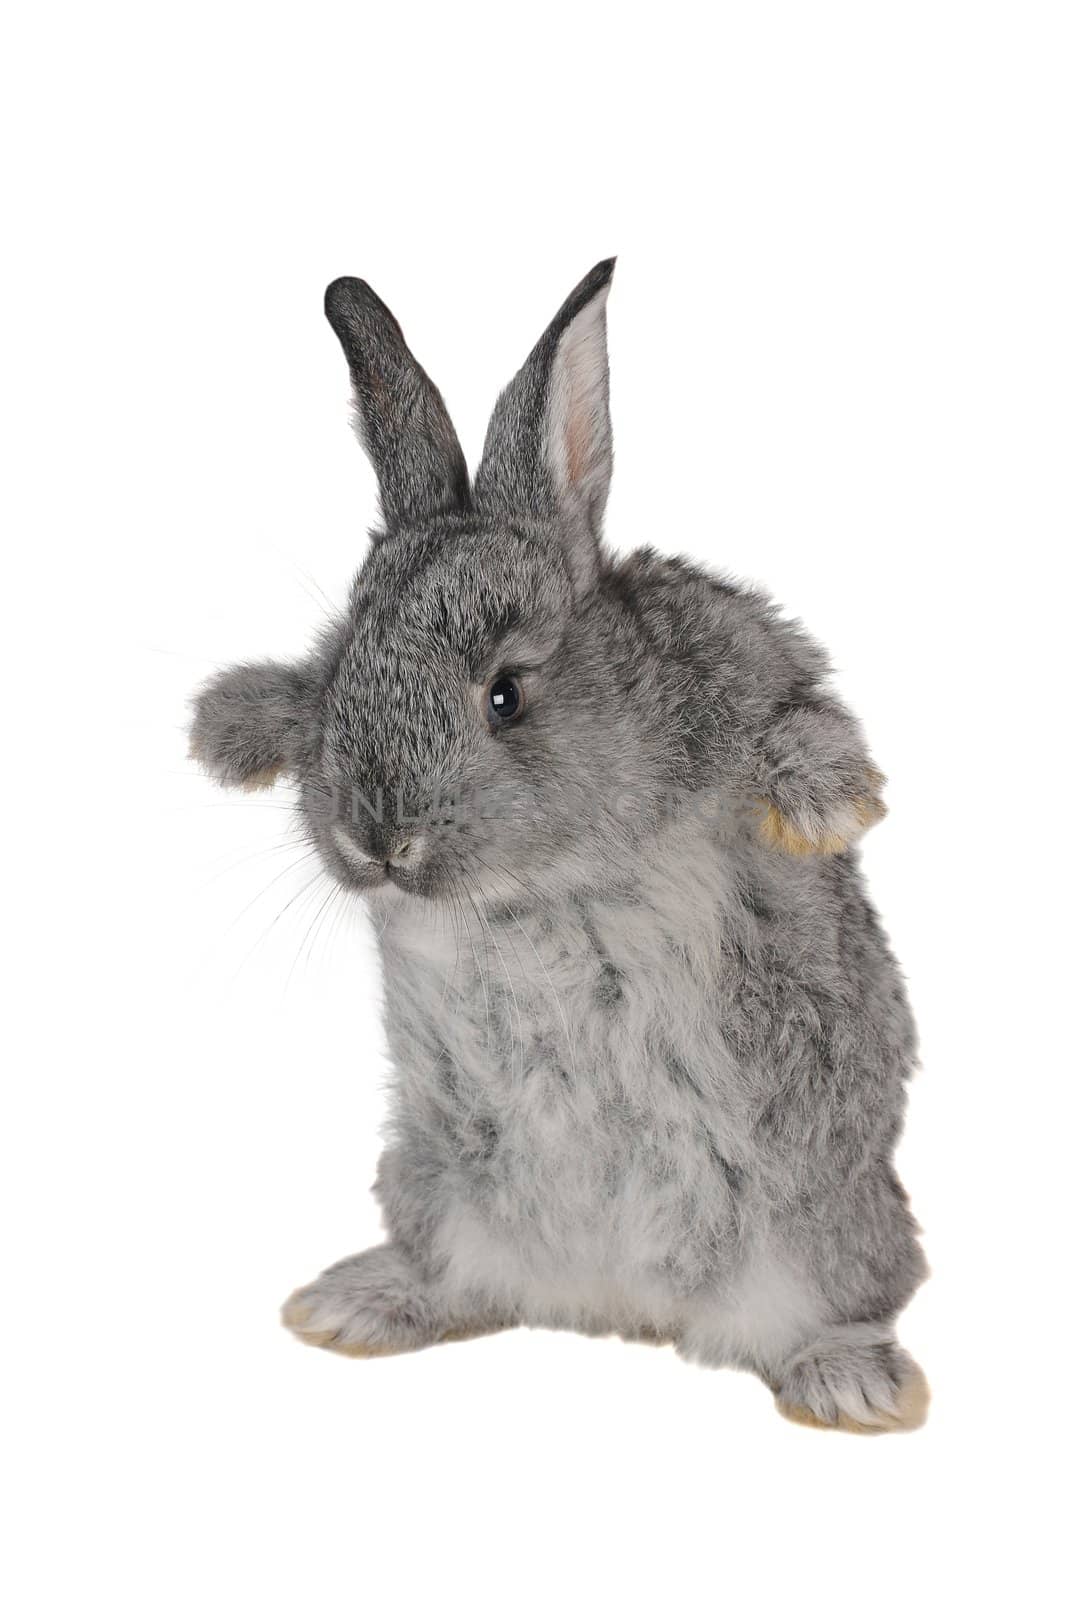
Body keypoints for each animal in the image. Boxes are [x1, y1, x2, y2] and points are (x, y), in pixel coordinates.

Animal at [189, 262, 927, 1440]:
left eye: (505, 694)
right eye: (346, 669)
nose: (376, 839)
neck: (535, 886)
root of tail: (612, 1304)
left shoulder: (742, 660)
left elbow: (791, 715)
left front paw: (824, 805)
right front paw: (229, 726)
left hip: (820, 1225)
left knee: (829, 1305)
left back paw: (850, 1383)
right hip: (431, 1184)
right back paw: (356, 1303)